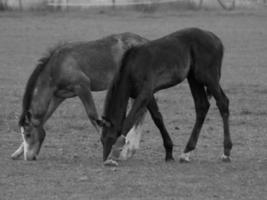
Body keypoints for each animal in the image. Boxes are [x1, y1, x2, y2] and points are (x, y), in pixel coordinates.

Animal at [11, 32, 149, 161]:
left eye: (28, 134)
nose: (29, 157)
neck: (58, 66)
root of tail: (145, 41)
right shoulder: (58, 96)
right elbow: (45, 118)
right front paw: (17, 153)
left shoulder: (82, 86)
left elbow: (92, 115)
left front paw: (110, 147)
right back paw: (128, 150)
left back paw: (128, 150)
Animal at [101, 27, 233, 166]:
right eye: (101, 140)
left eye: (110, 138)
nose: (105, 159)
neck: (133, 66)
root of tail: (216, 39)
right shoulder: (148, 95)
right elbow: (157, 118)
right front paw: (169, 153)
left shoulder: (145, 92)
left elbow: (130, 119)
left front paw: (115, 151)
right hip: (194, 79)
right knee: (202, 106)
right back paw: (186, 153)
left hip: (208, 77)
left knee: (223, 102)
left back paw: (226, 152)